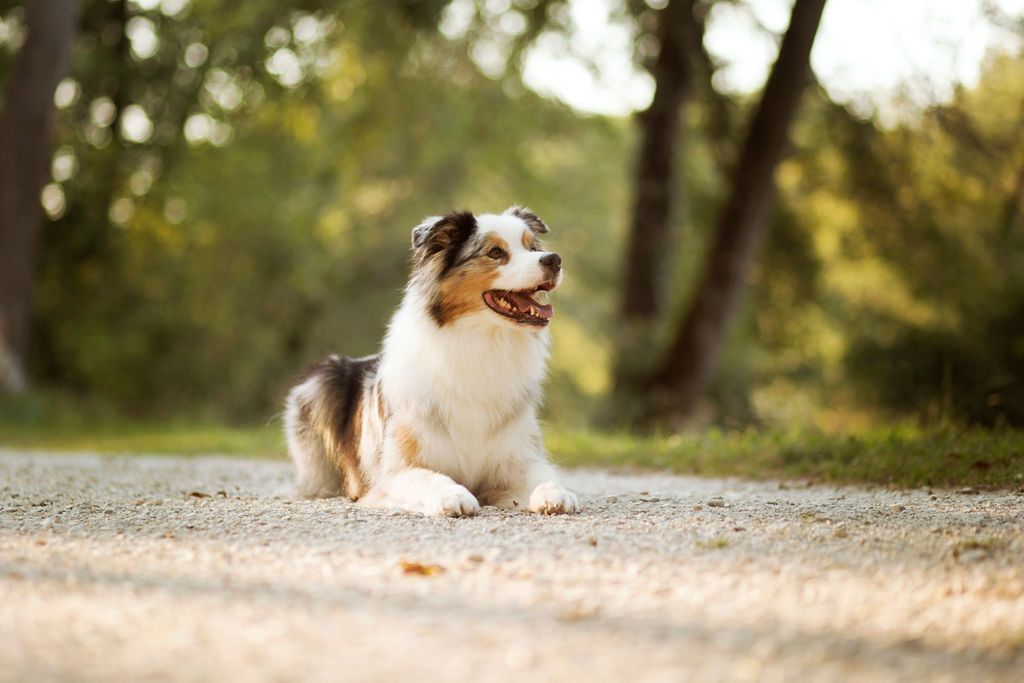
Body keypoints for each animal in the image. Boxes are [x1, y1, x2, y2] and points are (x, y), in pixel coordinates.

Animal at [284, 205, 581, 516]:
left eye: (532, 247)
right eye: (496, 253)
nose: (554, 259)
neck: (480, 342)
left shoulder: (515, 459)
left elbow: (544, 473)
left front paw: (556, 492)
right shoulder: (395, 472)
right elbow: (431, 478)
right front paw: (453, 495)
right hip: (318, 384)